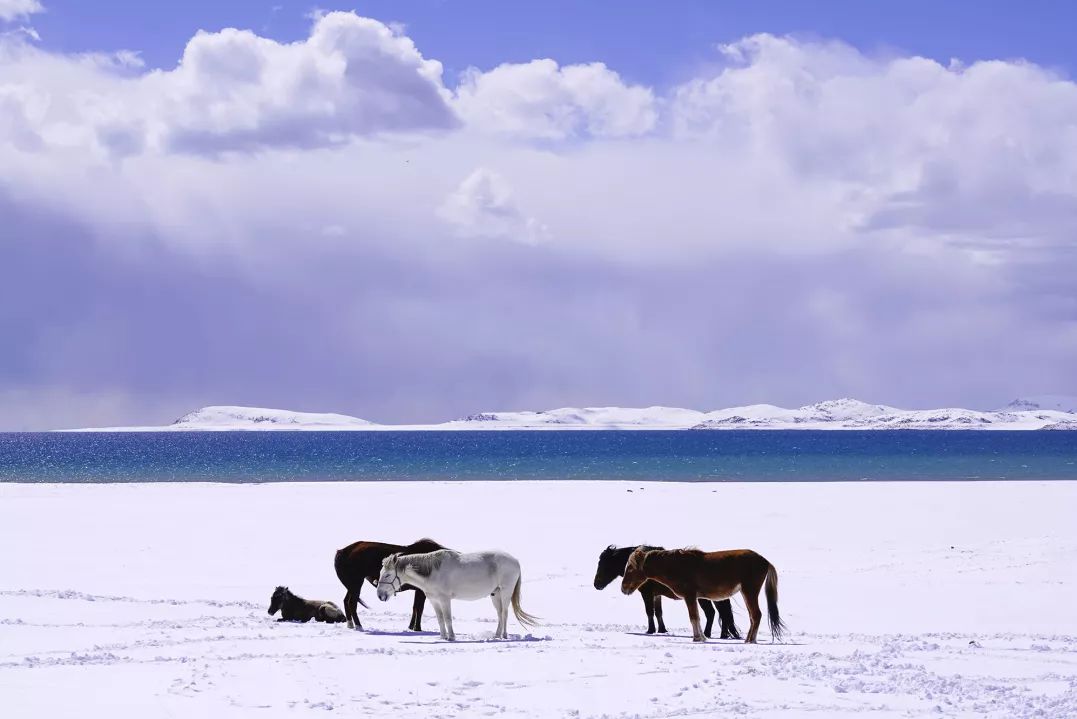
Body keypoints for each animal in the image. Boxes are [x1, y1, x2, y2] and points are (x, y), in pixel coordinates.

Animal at [379, 551, 538, 641]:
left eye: (387, 575)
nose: (380, 595)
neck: (432, 572)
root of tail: (515, 561)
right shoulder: (434, 601)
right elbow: (440, 619)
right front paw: (443, 637)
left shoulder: (444, 599)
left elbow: (448, 619)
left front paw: (451, 637)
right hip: (495, 594)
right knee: (499, 614)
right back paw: (496, 635)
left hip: (505, 592)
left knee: (504, 613)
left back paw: (504, 636)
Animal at [620, 546, 788, 641]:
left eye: (630, 568)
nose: (623, 588)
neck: (676, 566)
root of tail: (765, 561)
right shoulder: (694, 597)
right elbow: (698, 617)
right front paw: (702, 637)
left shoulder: (689, 596)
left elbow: (694, 617)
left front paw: (698, 638)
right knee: (753, 617)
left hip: (749, 591)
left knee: (756, 615)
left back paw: (750, 640)